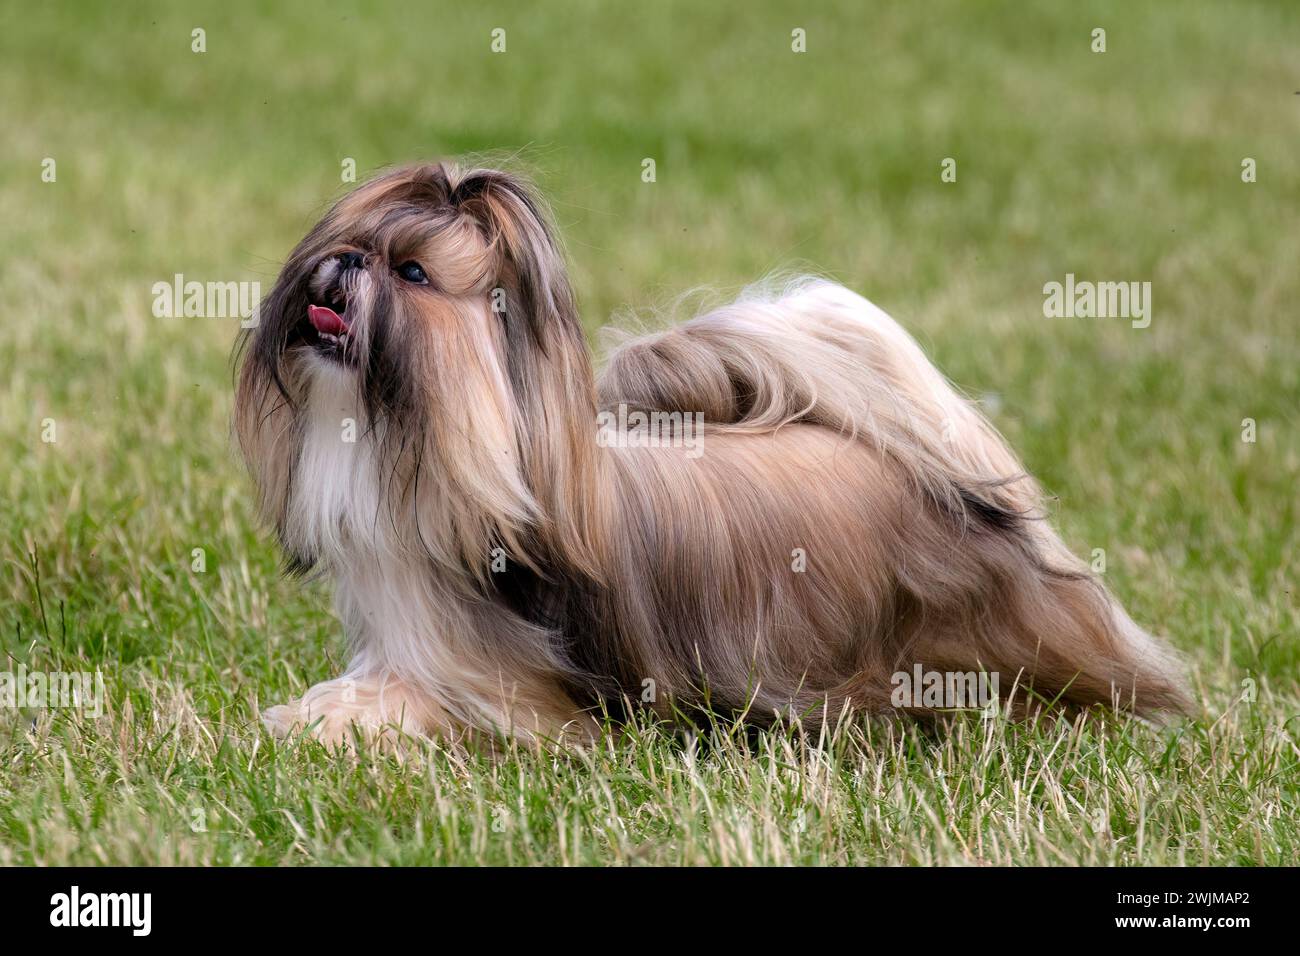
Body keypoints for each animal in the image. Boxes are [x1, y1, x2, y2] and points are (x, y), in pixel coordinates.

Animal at [236, 164, 1190, 749]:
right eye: (354, 243)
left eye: (412, 273)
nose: (340, 264)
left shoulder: (516, 697)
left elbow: (427, 706)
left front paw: (330, 723)